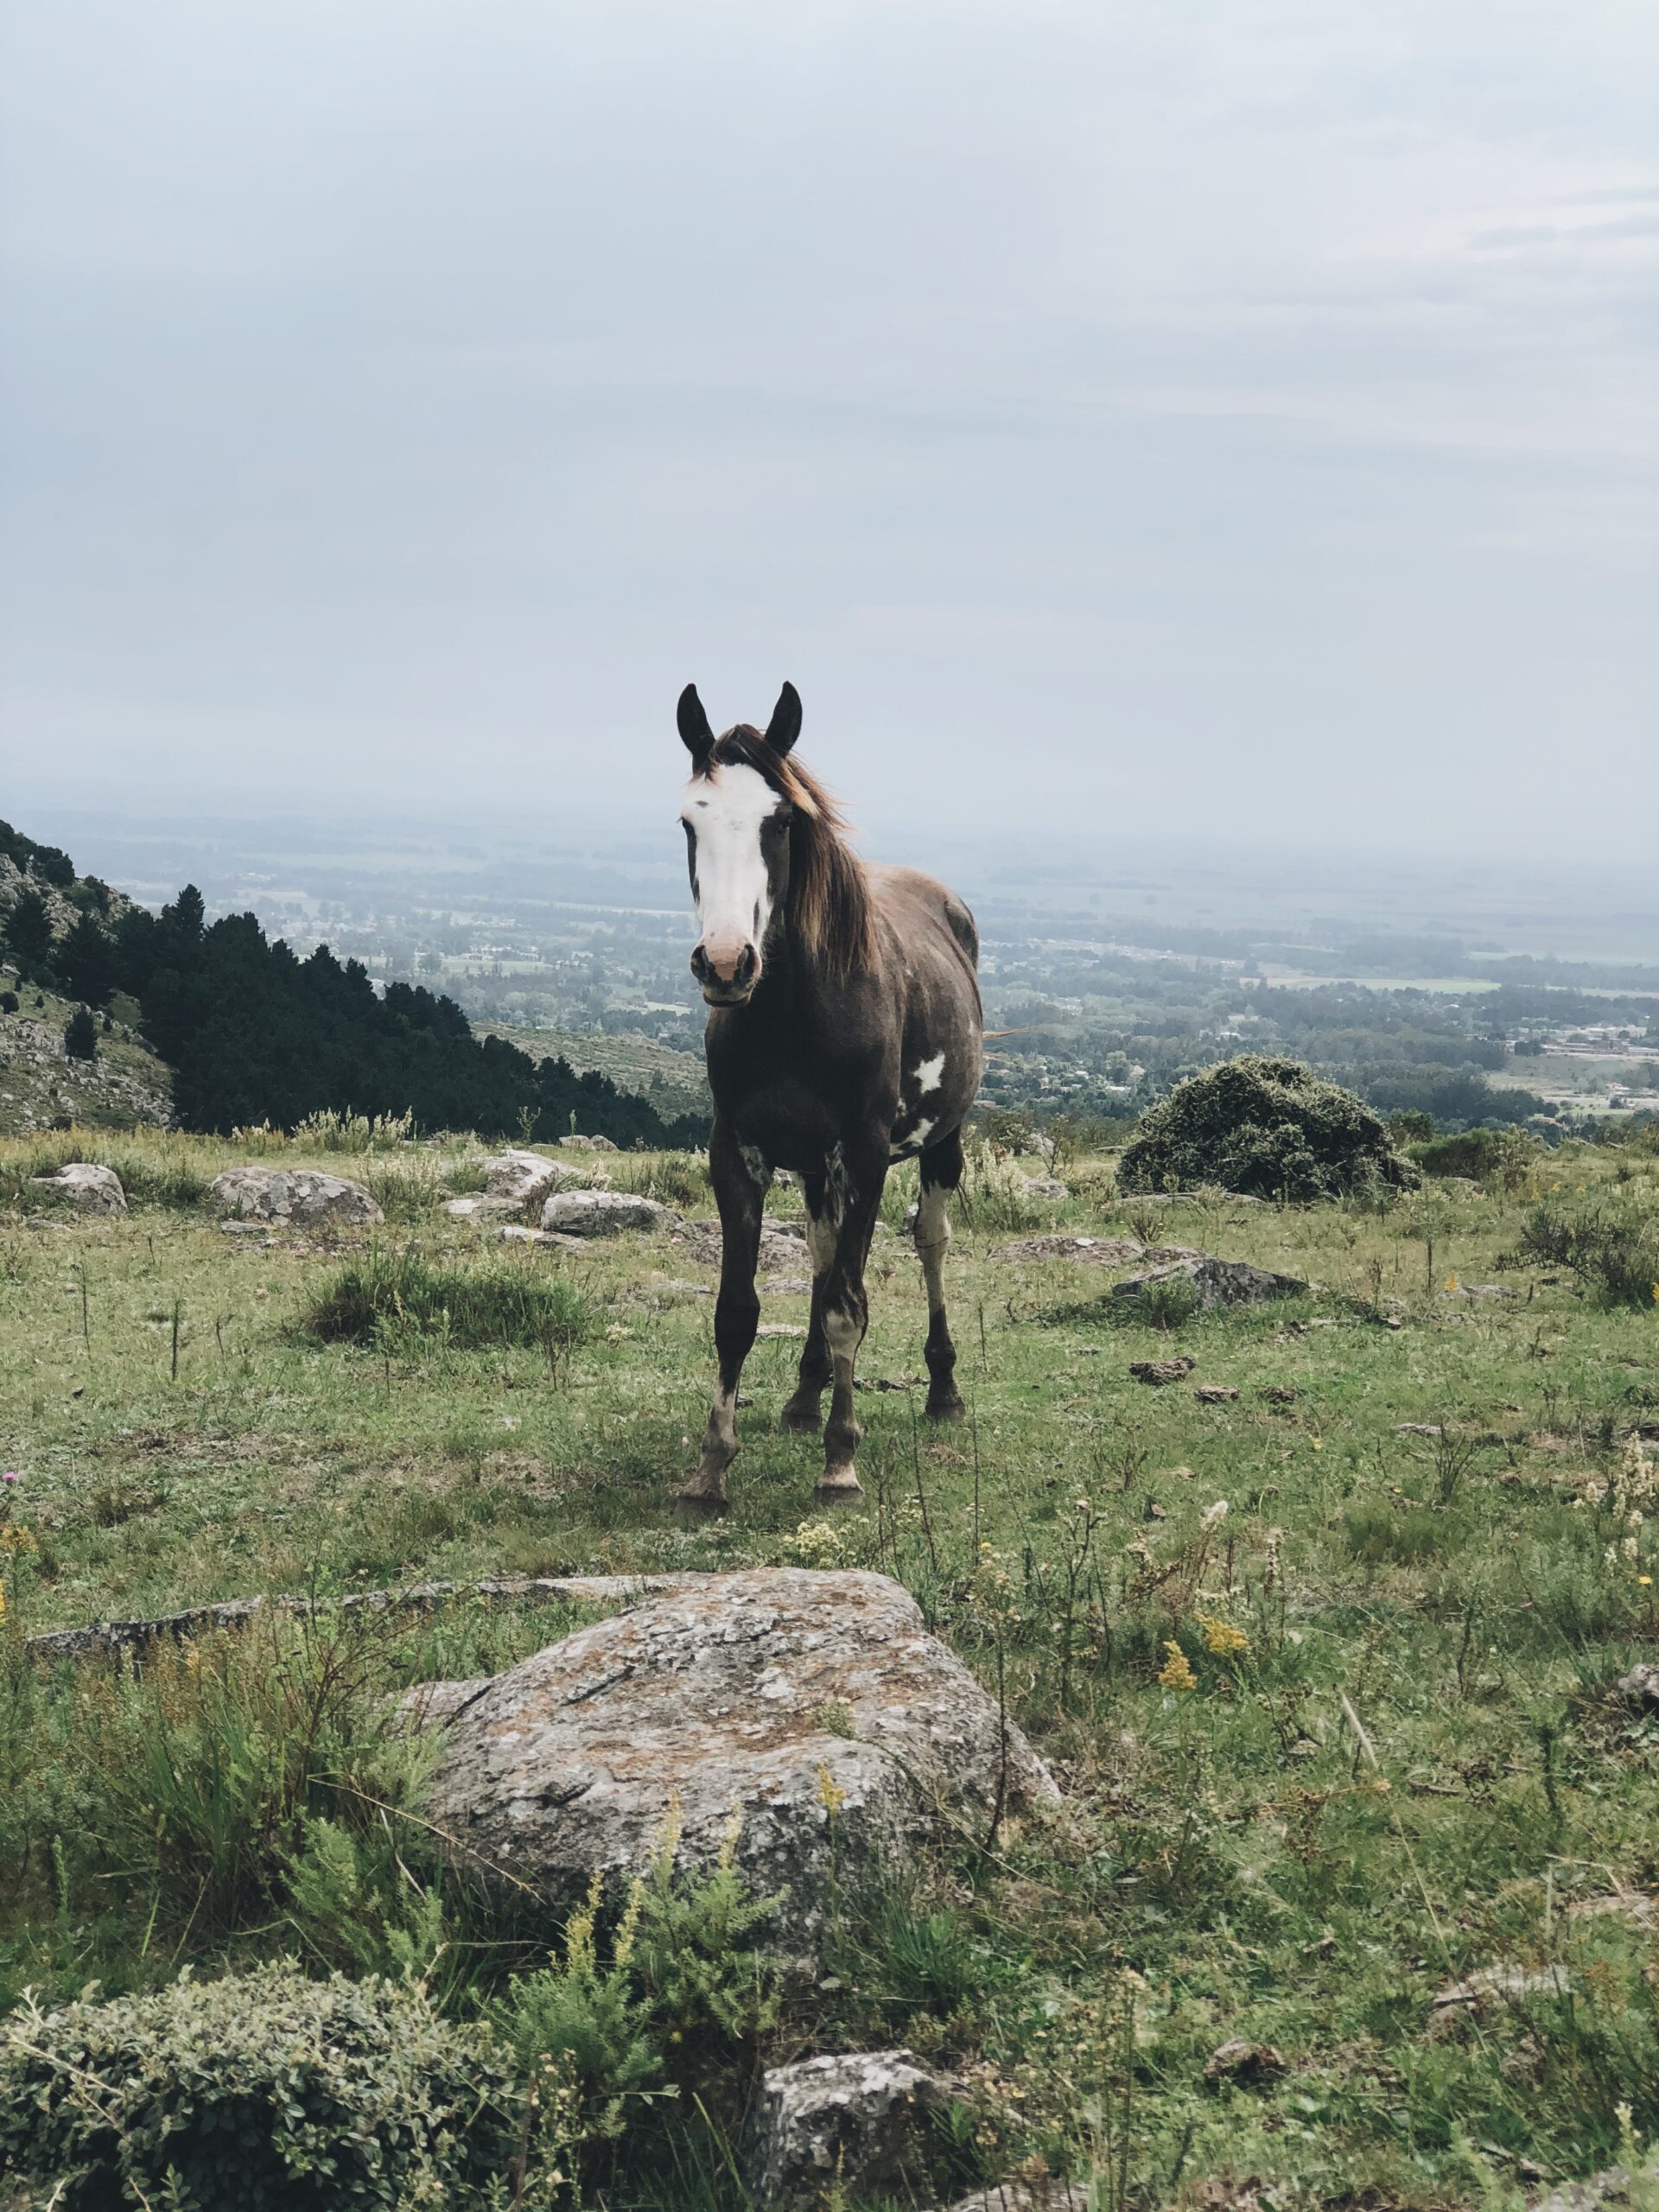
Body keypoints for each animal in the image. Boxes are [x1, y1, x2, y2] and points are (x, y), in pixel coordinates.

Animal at [677, 681, 986, 1513]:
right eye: (688, 819)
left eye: (782, 820)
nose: (726, 963)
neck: (794, 1015)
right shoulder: (737, 1152)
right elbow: (737, 1312)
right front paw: (713, 1468)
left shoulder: (867, 1154)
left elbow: (850, 1306)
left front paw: (840, 1463)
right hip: (816, 1167)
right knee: (820, 1253)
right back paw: (804, 1395)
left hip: (939, 1145)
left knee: (930, 1242)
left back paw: (942, 1390)